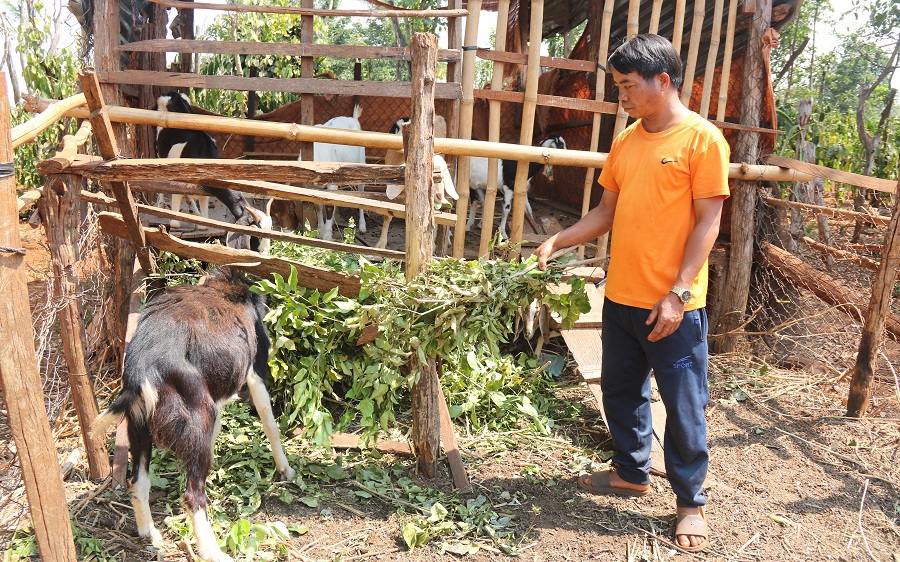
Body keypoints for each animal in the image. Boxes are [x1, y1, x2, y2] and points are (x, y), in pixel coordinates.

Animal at [93, 268, 294, 560]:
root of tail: (142, 369)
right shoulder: (255, 373)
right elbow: (271, 424)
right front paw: (286, 470)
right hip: (199, 415)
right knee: (192, 497)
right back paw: (213, 551)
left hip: (139, 427)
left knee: (137, 482)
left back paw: (150, 534)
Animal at [155, 93, 270, 249]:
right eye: (255, 236)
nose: (264, 252)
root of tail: (174, 95)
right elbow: (176, 205)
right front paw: (175, 222)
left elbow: (203, 208)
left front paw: (200, 219)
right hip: (160, 150)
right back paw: (161, 203)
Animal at [300, 104, 368, 240]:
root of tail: (353, 119)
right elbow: (318, 205)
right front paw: (320, 231)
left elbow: (329, 206)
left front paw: (327, 236)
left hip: (361, 163)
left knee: (361, 191)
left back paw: (363, 227)